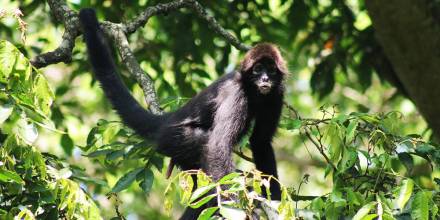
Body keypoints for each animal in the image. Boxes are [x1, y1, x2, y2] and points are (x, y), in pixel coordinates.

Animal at [79, 9, 288, 220]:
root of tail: (171, 118)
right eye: (257, 69)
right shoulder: (236, 92)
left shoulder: (276, 95)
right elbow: (217, 146)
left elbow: (260, 141)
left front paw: (275, 200)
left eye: (271, 70)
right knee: (205, 142)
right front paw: (234, 207)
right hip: (175, 138)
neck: (254, 92)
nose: (264, 79)